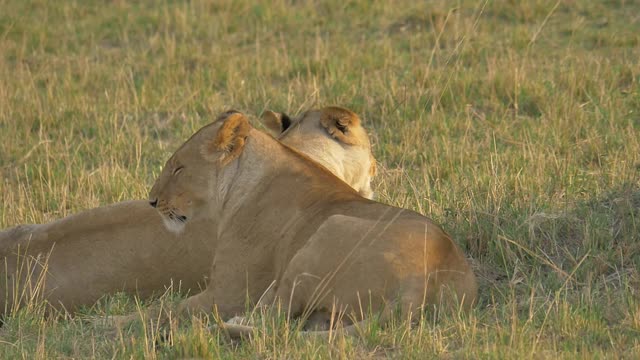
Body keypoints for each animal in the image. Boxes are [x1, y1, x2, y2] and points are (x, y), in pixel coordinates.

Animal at [146, 107, 476, 334]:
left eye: (178, 168)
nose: (151, 201)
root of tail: (422, 283)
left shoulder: (228, 293)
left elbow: (160, 310)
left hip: (327, 231)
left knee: (276, 319)